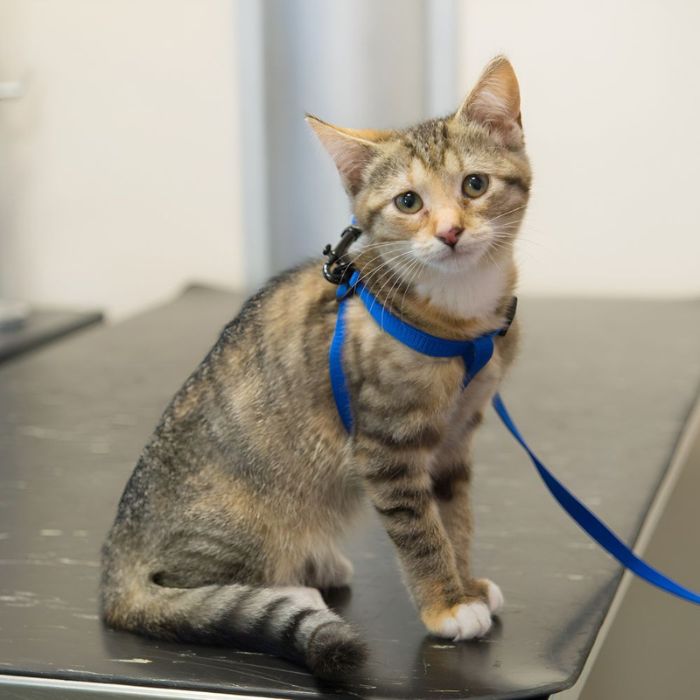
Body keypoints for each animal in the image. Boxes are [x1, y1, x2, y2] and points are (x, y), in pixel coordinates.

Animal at [100, 57, 532, 680]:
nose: (450, 232)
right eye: (408, 202)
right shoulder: (386, 446)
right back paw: (289, 590)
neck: (460, 313)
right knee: (187, 584)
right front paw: (446, 605)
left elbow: (456, 517)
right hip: (241, 517)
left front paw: (465, 583)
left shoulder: (454, 440)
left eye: (475, 184)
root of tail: (116, 559)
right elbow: (421, 529)